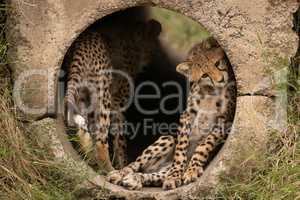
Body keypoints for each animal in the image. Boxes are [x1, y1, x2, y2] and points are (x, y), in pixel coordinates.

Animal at [63, 19, 162, 171]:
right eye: (152, 49)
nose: (148, 66)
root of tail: (82, 43)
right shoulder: (117, 105)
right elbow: (120, 140)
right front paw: (122, 165)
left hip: (82, 95)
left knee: (83, 128)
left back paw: (92, 160)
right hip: (103, 95)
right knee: (101, 140)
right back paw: (108, 169)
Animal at [107, 37, 237, 189]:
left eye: (217, 63)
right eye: (205, 75)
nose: (221, 80)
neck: (211, 91)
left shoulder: (225, 121)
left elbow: (204, 144)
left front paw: (192, 170)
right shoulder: (188, 115)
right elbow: (181, 146)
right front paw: (176, 174)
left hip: (161, 171)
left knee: (150, 175)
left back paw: (135, 179)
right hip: (167, 138)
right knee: (135, 165)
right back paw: (120, 174)